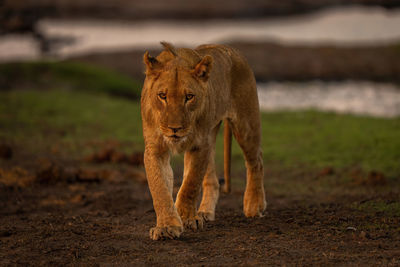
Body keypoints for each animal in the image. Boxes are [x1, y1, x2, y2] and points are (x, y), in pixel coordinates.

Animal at [140, 42, 266, 241]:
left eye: (189, 97)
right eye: (162, 96)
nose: (175, 128)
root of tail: (229, 48)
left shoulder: (200, 145)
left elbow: (190, 184)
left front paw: (185, 218)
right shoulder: (155, 148)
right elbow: (159, 187)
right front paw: (167, 226)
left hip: (245, 125)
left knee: (256, 161)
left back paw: (254, 206)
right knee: (212, 180)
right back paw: (205, 213)